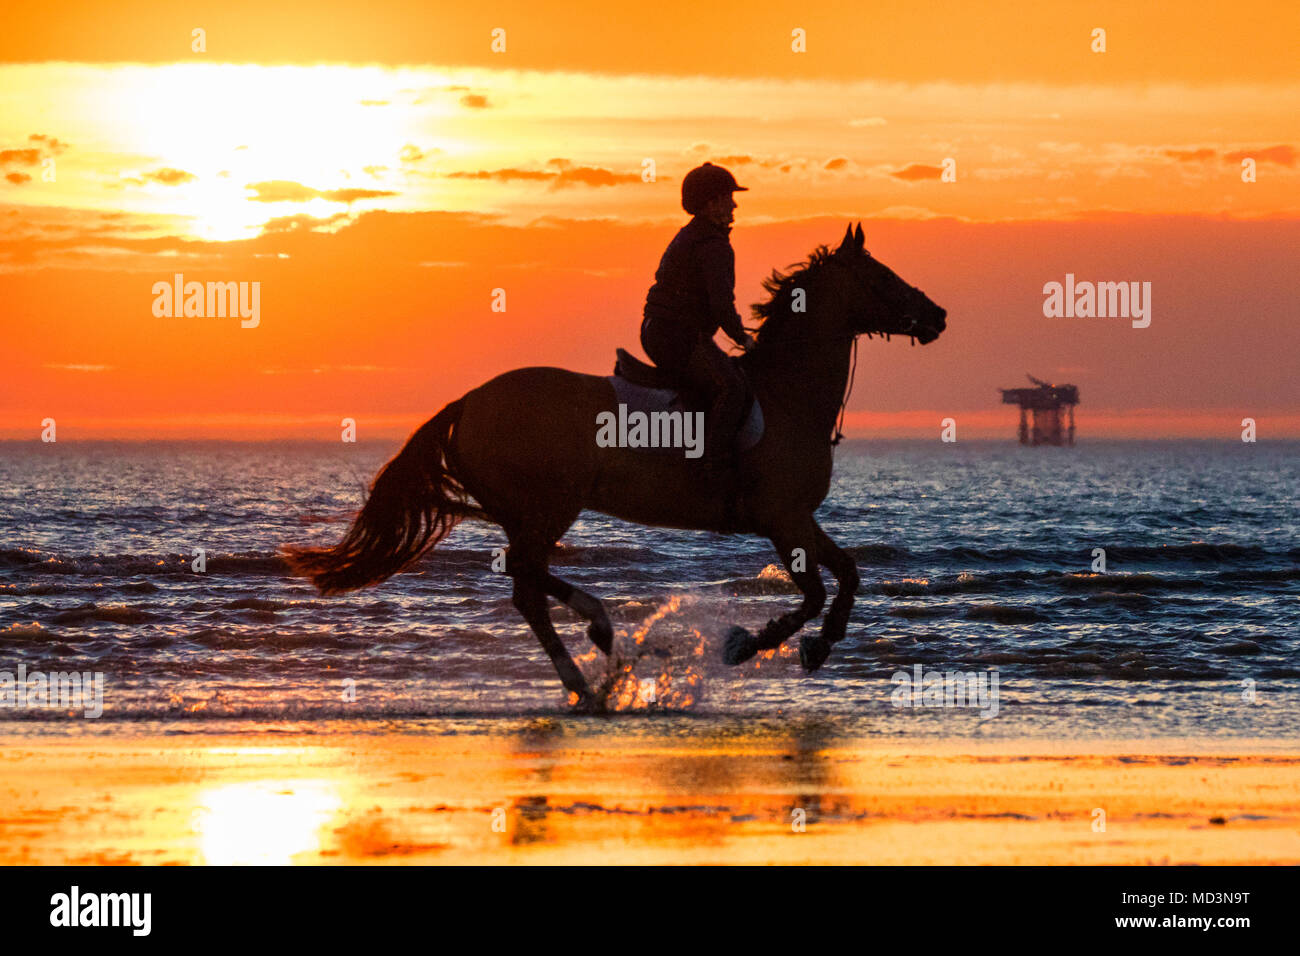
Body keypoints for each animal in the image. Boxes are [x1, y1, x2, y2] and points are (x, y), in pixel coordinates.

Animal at [286, 223, 947, 709]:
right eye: (883, 277)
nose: (937, 316)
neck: (788, 393)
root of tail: (471, 401)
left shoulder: (797, 522)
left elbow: (850, 576)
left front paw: (819, 647)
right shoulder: (783, 521)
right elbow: (815, 591)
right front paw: (750, 645)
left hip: (527, 511)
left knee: (527, 582)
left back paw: (592, 662)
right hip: (550, 505)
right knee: (527, 578)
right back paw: (595, 648)